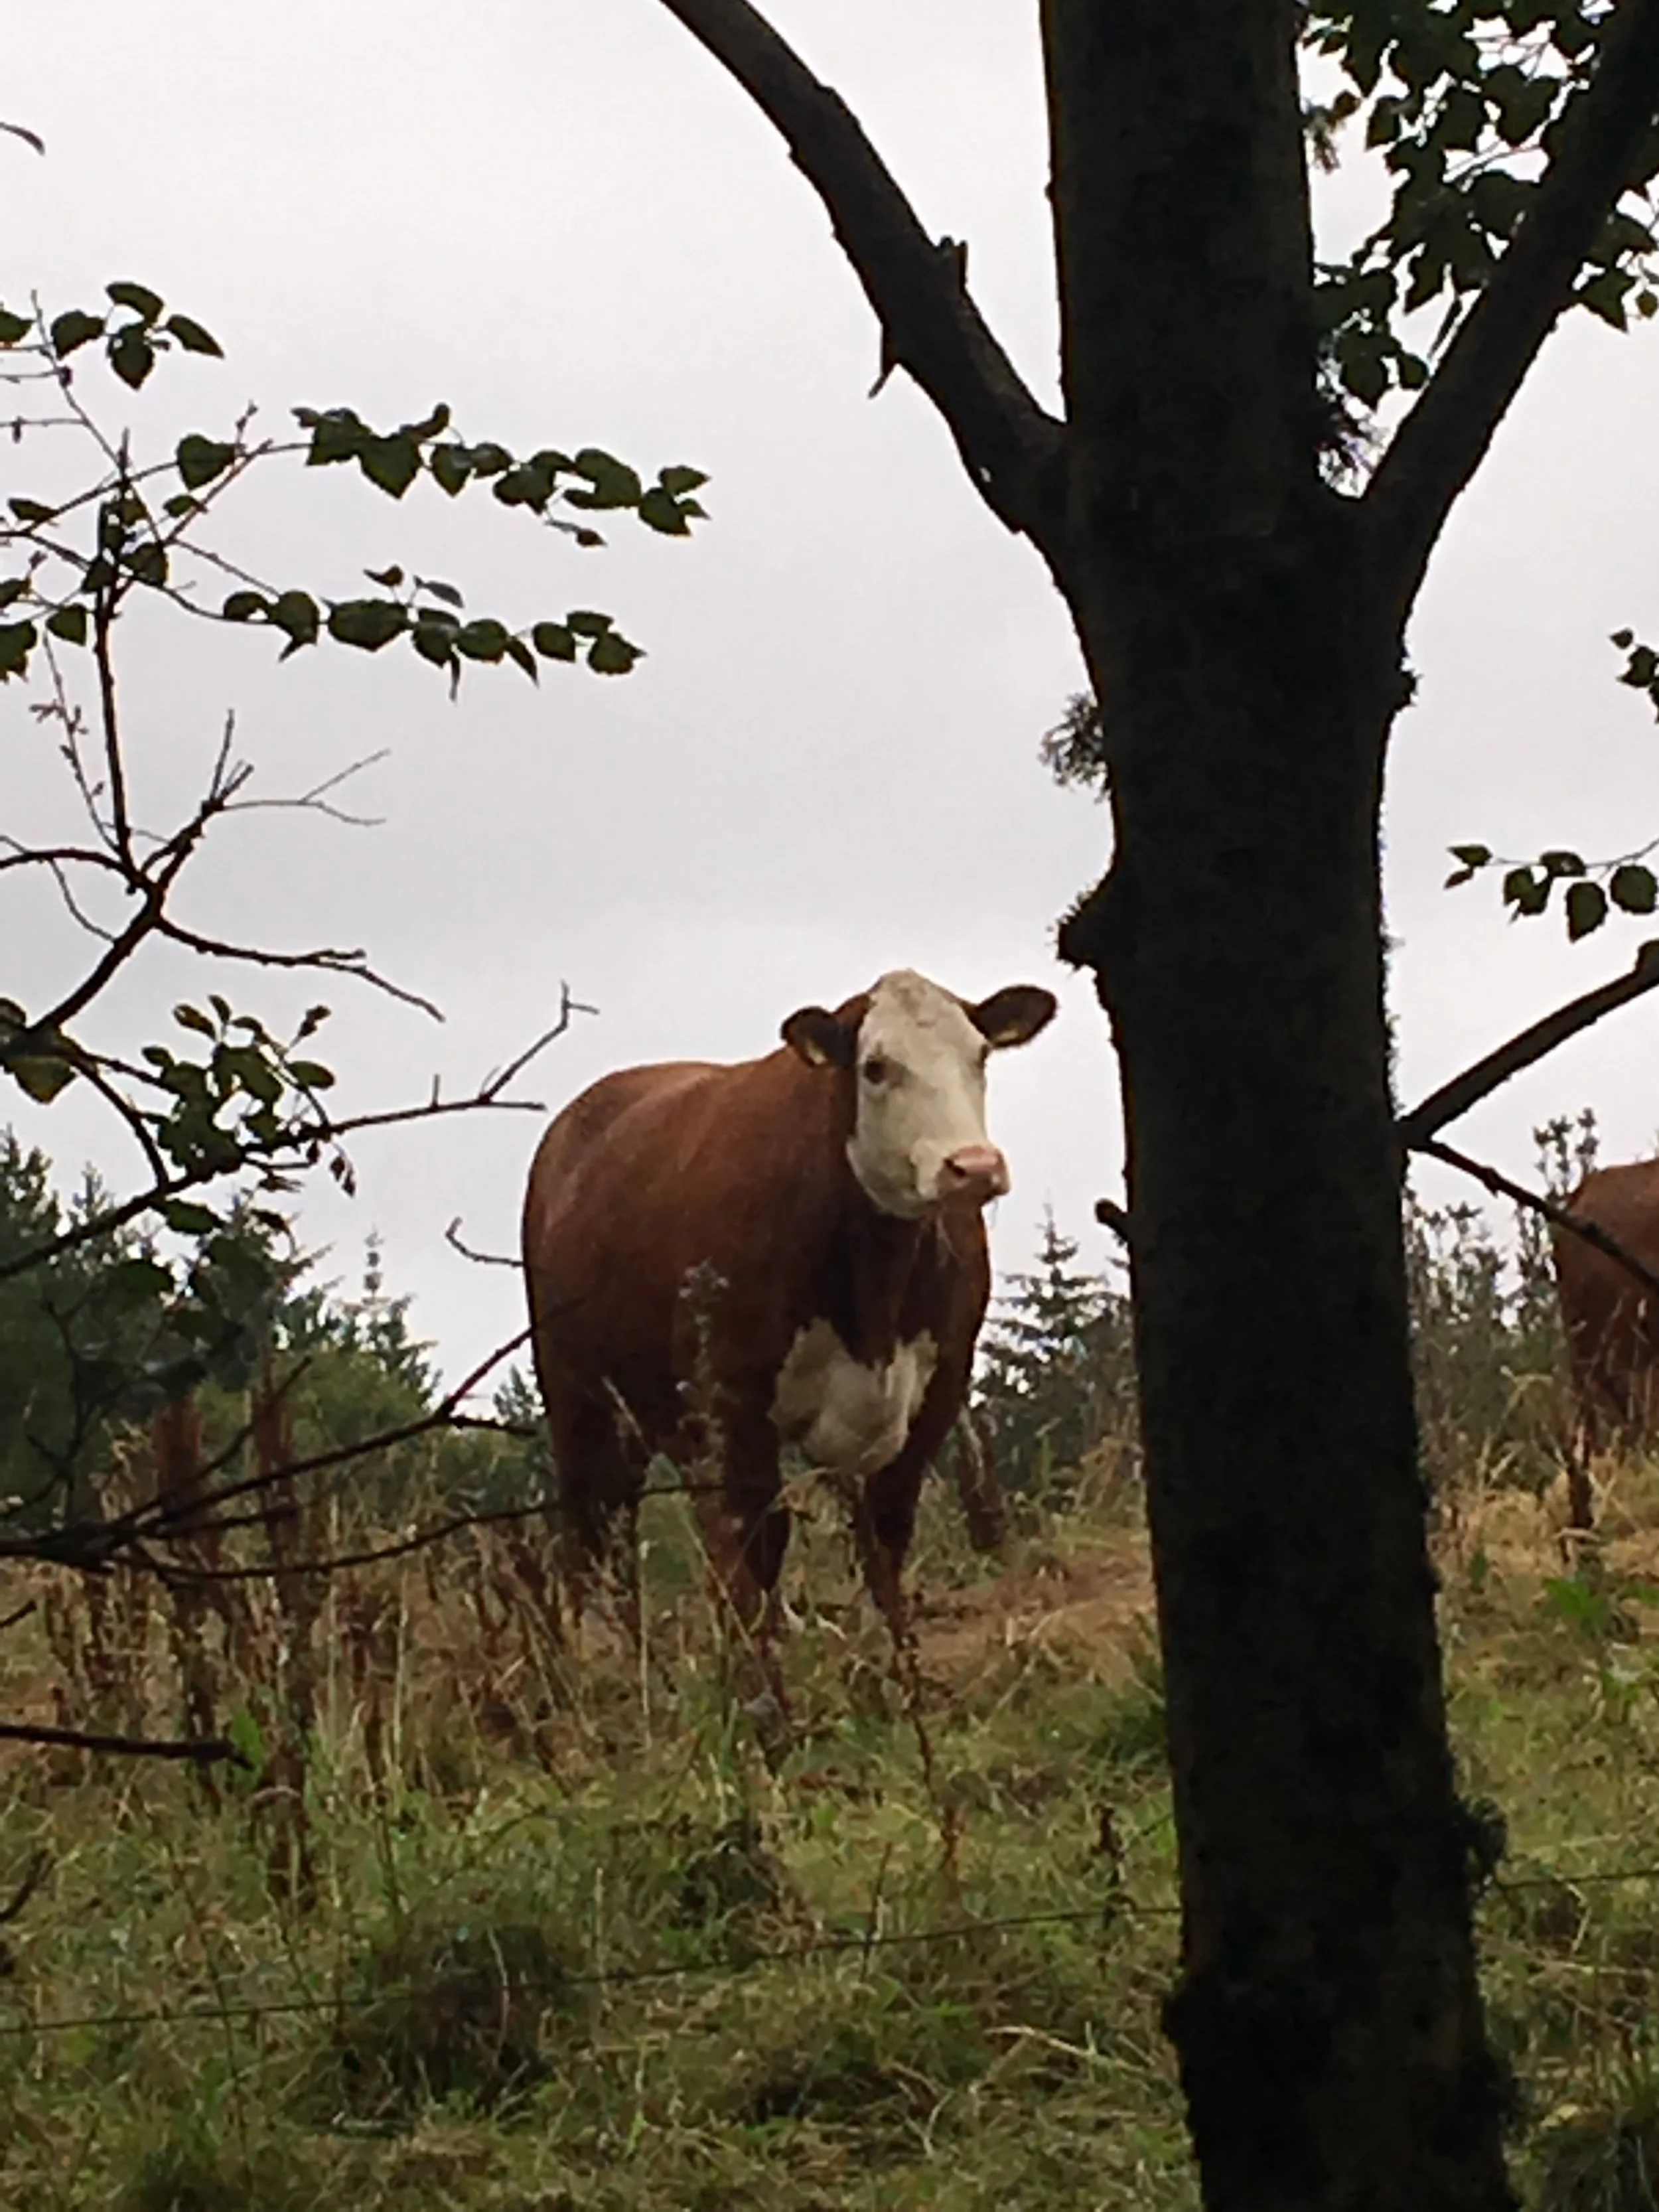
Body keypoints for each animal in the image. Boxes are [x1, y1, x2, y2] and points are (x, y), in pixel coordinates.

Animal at [520, 969, 1056, 1670]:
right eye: (876, 1067)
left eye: (982, 1056)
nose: (973, 1166)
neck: (874, 1287)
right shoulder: (734, 1399)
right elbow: (758, 1543)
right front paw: (761, 1669)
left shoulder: (939, 1389)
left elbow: (884, 1534)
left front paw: (889, 1659)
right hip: (576, 1394)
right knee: (590, 1524)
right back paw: (601, 1659)